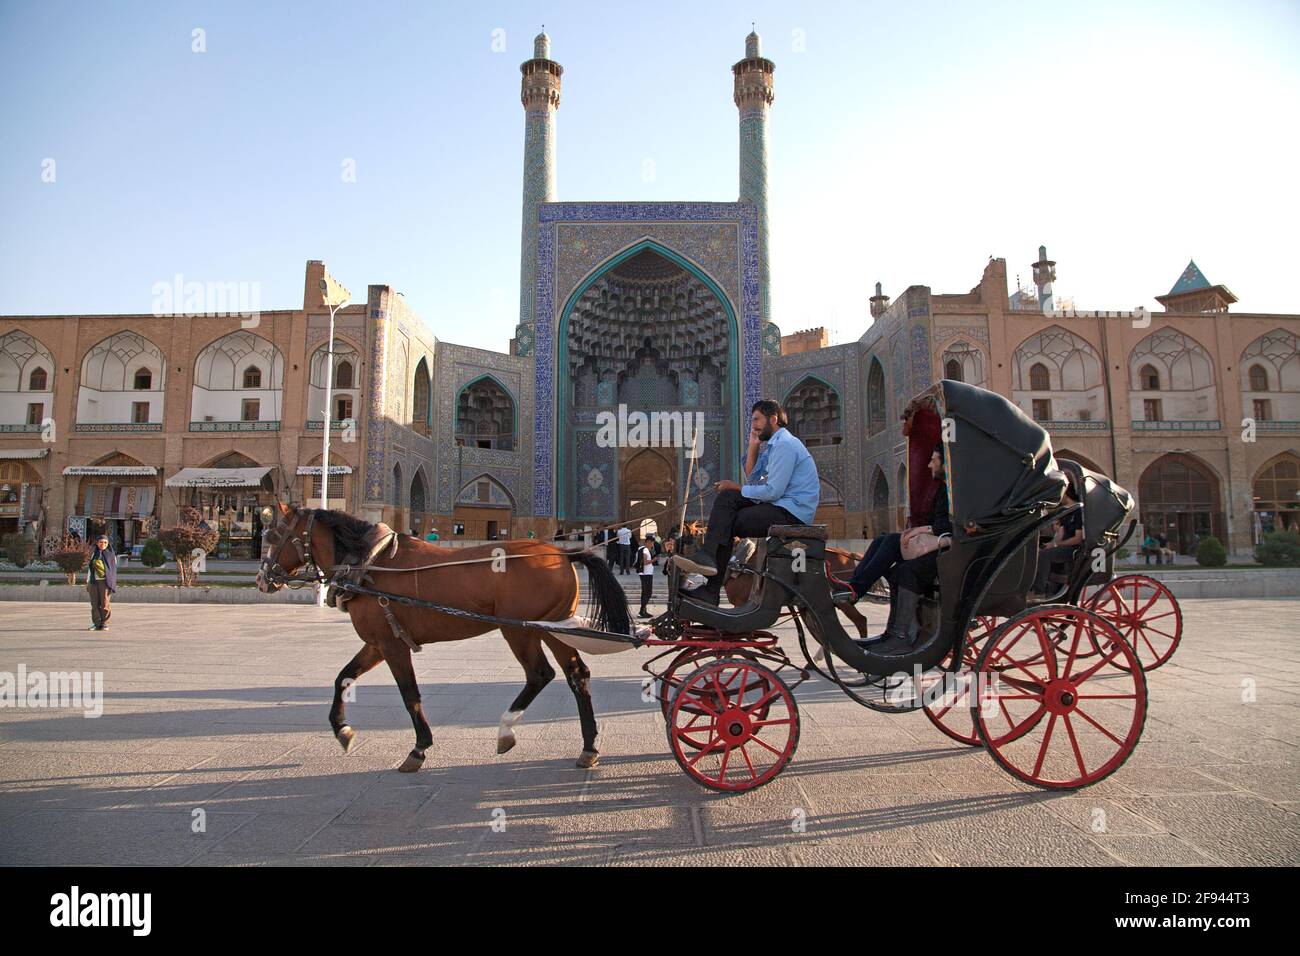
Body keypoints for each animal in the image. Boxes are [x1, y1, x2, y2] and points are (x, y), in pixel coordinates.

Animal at [253, 504, 629, 775]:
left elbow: (410, 695)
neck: (368, 564)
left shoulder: (392, 643)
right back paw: (588, 748)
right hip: (553, 622)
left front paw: (418, 749)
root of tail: (564, 554)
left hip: (519, 627)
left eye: (275, 534)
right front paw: (343, 732)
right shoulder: (377, 640)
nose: (262, 579)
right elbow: (342, 677)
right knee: (577, 674)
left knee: (540, 674)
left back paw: (506, 731)